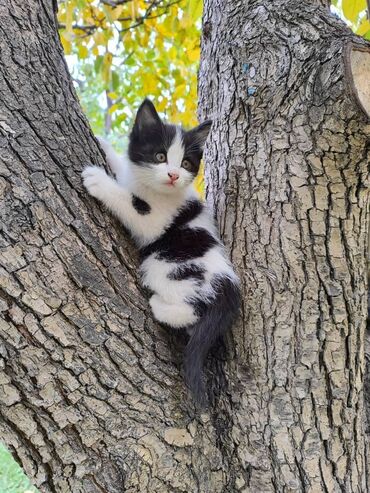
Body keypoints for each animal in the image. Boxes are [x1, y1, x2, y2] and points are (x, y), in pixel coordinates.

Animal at [81, 99, 240, 404]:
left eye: (186, 163)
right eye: (159, 156)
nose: (174, 175)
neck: (152, 189)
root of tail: (229, 286)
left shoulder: (155, 220)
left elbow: (131, 204)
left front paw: (98, 181)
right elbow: (123, 170)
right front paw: (104, 146)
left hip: (167, 265)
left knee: (192, 309)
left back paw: (160, 307)